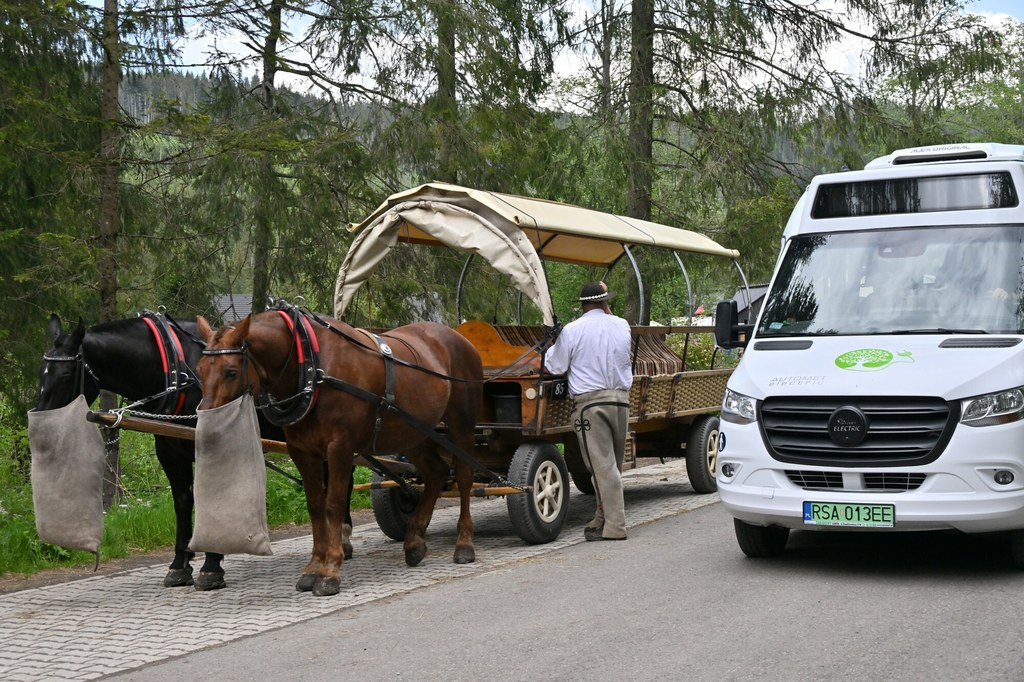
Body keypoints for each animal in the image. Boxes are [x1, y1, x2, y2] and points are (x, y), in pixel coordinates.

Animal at [35, 311, 356, 585]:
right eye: (41, 372)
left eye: (65, 376)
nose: (41, 425)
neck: (174, 371)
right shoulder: (169, 452)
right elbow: (182, 501)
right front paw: (180, 564)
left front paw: (211, 566)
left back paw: (341, 538)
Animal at [195, 307, 483, 593]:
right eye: (200, 369)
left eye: (231, 371)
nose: (207, 423)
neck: (311, 366)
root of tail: (459, 337)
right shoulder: (303, 452)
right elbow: (315, 505)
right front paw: (313, 567)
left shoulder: (340, 448)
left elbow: (333, 504)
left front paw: (330, 570)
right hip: (414, 432)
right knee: (436, 473)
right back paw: (414, 542)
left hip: (461, 424)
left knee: (465, 477)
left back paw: (464, 543)